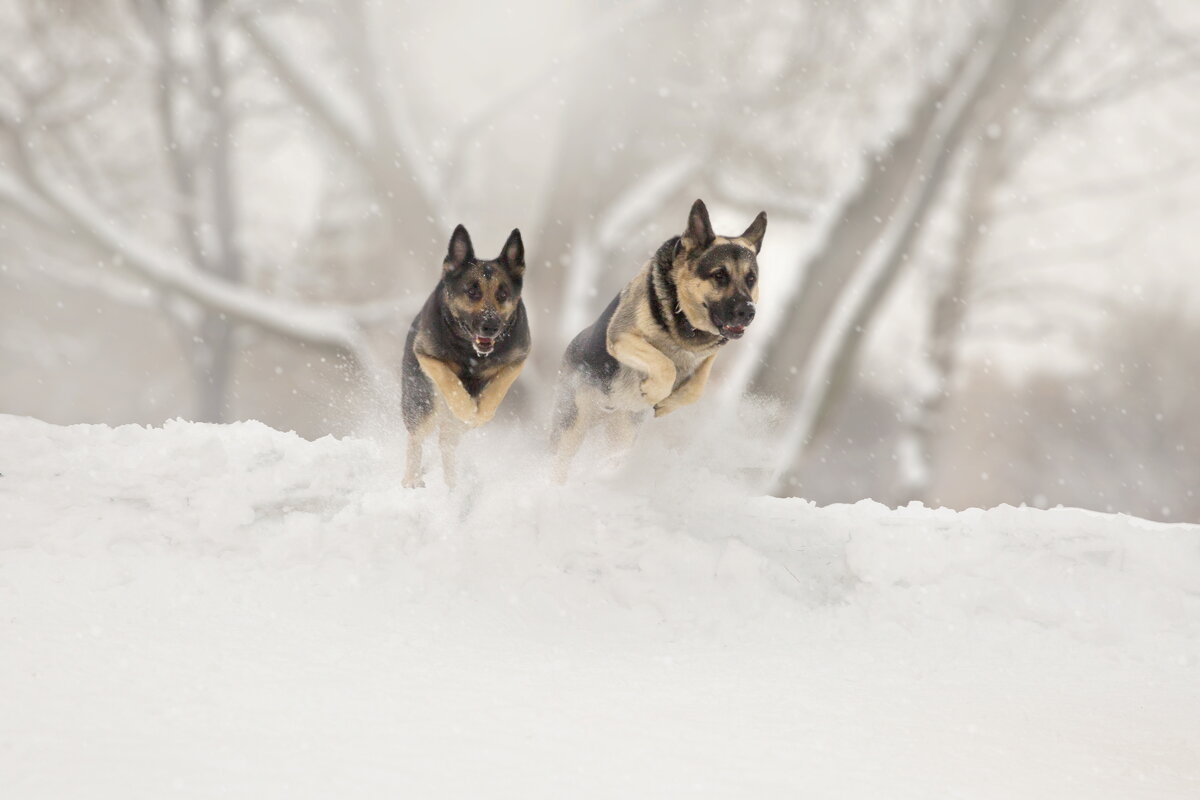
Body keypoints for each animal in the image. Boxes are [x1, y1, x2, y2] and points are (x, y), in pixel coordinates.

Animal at [400, 224, 528, 489]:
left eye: (503, 295)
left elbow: (499, 386)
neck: (473, 353)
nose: (490, 327)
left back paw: (453, 487)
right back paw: (412, 480)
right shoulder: (427, 355)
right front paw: (466, 407)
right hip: (421, 404)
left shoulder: (518, 359)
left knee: (446, 443)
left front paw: (481, 412)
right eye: (472, 291)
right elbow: (448, 378)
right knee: (417, 438)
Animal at [552, 199, 768, 482]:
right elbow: (664, 364)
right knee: (560, 460)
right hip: (573, 423)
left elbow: (697, 386)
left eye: (750, 279)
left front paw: (668, 403)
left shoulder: (708, 357)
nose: (748, 311)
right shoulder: (622, 338)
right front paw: (655, 390)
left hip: (621, 435)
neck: (684, 320)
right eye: (719, 275)